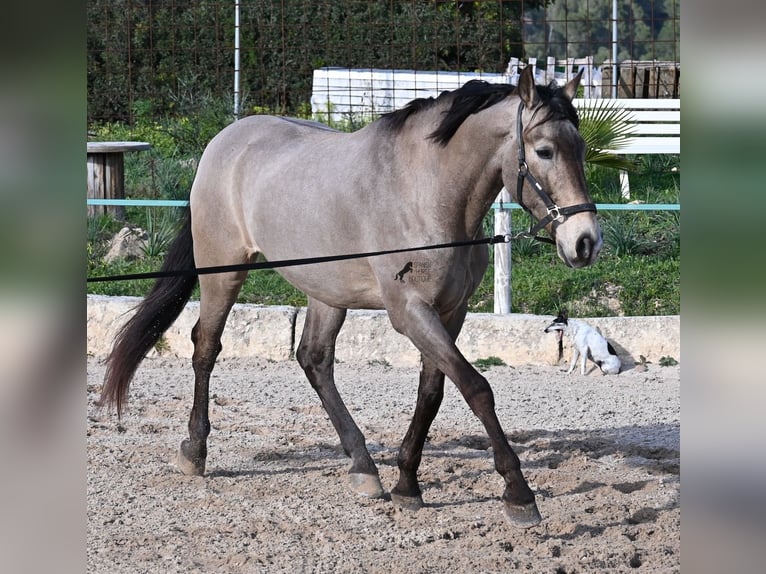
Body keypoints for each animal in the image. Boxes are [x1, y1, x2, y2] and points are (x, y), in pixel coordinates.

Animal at [99, 65, 604, 528]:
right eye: (544, 150)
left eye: (581, 149)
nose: (586, 242)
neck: (425, 193)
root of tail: (224, 141)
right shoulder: (410, 313)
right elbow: (476, 388)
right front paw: (518, 493)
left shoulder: (449, 313)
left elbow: (433, 392)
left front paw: (406, 484)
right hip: (223, 272)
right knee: (206, 347)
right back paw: (195, 450)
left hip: (326, 291)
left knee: (314, 359)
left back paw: (363, 468)